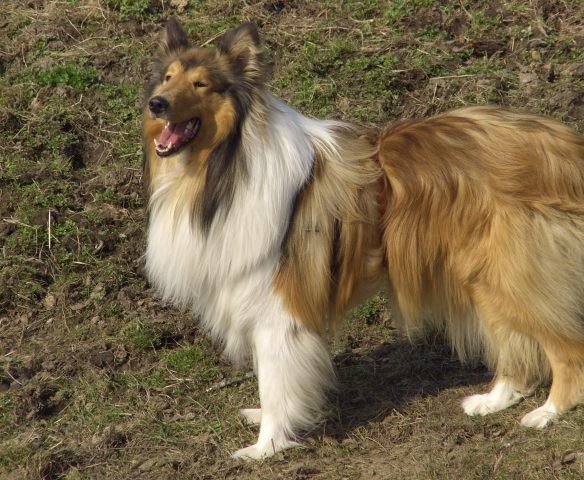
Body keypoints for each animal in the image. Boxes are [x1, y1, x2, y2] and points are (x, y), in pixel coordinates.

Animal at [142, 19, 584, 459]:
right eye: (167, 77)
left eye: (201, 84)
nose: (156, 104)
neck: (227, 166)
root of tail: (564, 144)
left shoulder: (278, 308)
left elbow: (274, 383)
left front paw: (266, 446)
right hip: (486, 276)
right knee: (516, 346)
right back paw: (493, 400)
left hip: (517, 276)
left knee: (567, 351)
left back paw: (548, 412)